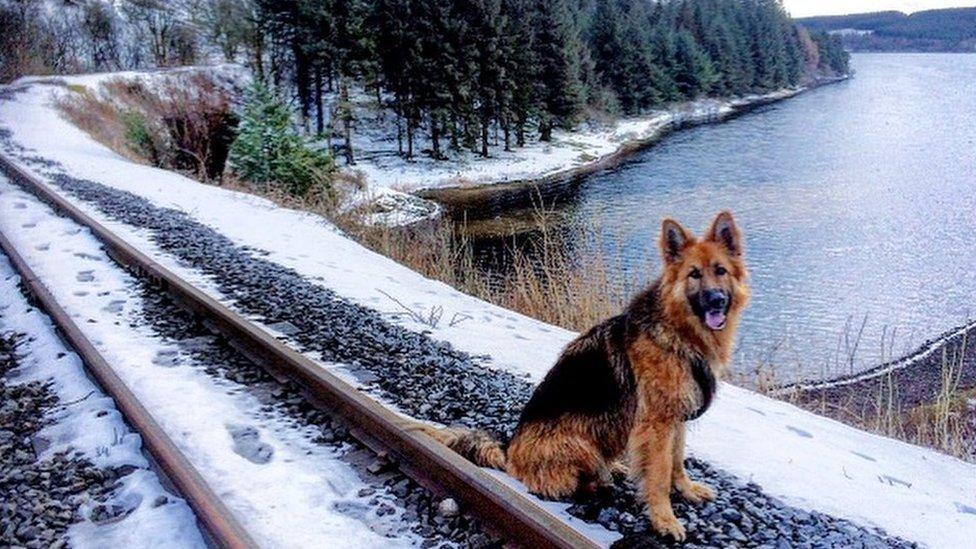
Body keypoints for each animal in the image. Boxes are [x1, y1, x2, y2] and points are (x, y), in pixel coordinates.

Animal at [426, 211, 748, 540]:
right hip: (581, 444)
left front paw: (685, 490)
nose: (716, 300)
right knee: (564, 482)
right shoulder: (656, 424)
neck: (678, 334)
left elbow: (677, 461)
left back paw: (615, 468)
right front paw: (664, 519)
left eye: (720, 271)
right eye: (693, 274)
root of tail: (509, 452)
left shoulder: (677, 416)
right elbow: (658, 475)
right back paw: (599, 481)